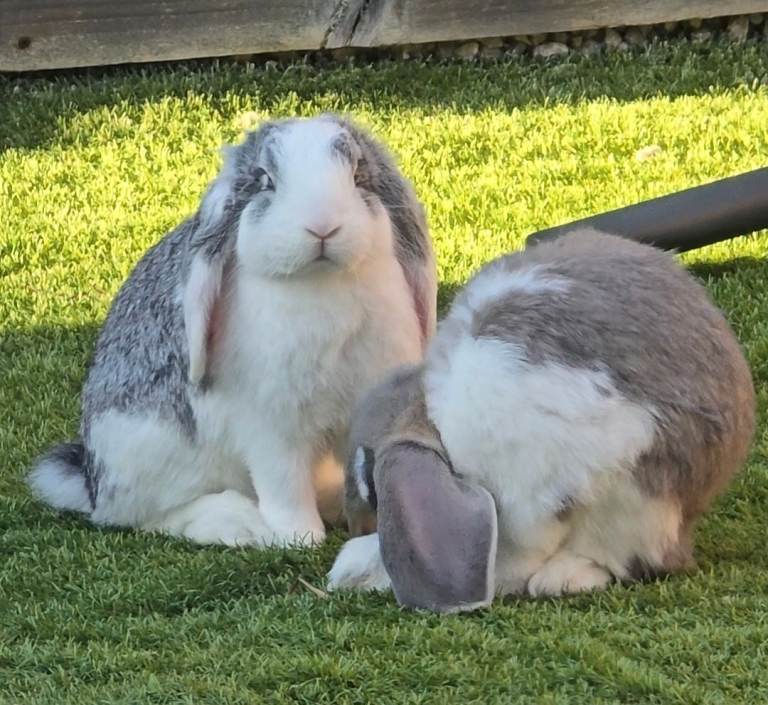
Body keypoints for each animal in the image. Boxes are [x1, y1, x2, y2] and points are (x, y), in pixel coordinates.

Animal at [28, 114, 437, 547]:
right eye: (264, 180)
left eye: (359, 175)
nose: (322, 226)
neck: (321, 283)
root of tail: (90, 481)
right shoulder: (271, 430)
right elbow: (284, 486)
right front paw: (301, 538)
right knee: (149, 516)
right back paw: (238, 522)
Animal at [328, 230, 755, 611]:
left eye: (370, 486)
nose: (356, 525)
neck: (436, 423)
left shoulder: (530, 495)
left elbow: (516, 552)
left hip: (637, 496)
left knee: (631, 555)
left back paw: (562, 579)